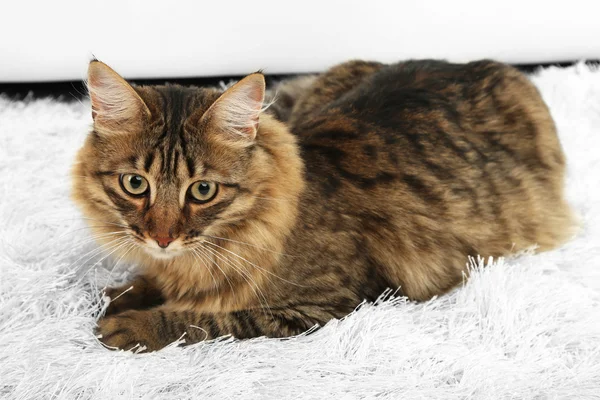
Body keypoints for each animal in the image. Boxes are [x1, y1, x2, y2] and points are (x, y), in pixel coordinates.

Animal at [72, 58, 576, 350]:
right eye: (135, 184)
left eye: (202, 191)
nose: (161, 237)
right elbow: (147, 283)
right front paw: (116, 295)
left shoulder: (325, 305)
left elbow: (210, 317)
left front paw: (133, 325)